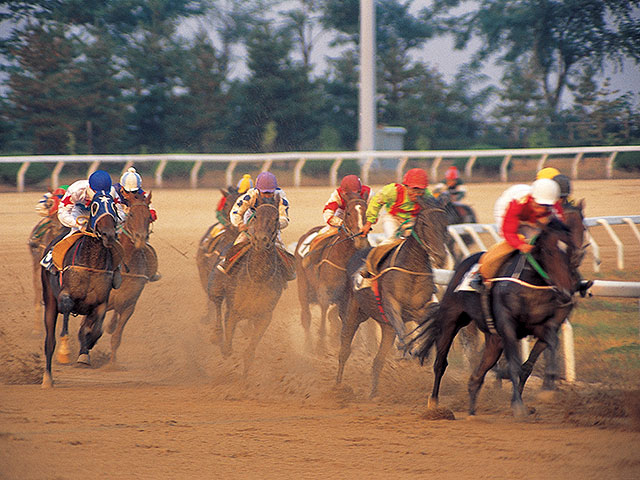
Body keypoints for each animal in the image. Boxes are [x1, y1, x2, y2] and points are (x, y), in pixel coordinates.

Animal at [105, 189, 156, 366]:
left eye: (148, 216)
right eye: (132, 214)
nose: (140, 238)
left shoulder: (129, 305)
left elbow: (117, 337)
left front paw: (111, 365)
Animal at [206, 196, 288, 376]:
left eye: (276, 218)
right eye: (256, 216)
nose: (261, 240)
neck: (257, 278)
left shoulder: (264, 315)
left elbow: (249, 352)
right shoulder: (233, 311)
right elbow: (227, 347)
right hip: (216, 287)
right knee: (216, 304)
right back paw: (216, 335)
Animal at [294, 190, 368, 348]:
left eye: (366, 212)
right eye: (348, 213)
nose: (360, 238)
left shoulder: (347, 295)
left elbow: (339, 316)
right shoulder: (324, 290)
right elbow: (324, 310)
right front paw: (320, 344)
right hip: (303, 285)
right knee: (306, 317)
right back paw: (309, 345)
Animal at [338, 197, 448, 400]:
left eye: (445, 224)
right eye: (425, 223)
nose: (440, 257)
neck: (412, 268)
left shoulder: (420, 309)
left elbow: (430, 320)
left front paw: (423, 351)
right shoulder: (391, 304)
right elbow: (402, 329)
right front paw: (406, 352)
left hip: (385, 327)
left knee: (378, 361)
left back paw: (373, 393)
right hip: (353, 313)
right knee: (345, 350)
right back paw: (338, 387)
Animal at [410, 210, 584, 416]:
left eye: (572, 250)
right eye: (549, 252)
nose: (567, 292)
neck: (531, 285)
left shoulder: (543, 325)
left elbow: (547, 347)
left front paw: (547, 388)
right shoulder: (508, 326)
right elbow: (515, 365)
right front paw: (518, 404)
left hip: (494, 340)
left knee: (477, 376)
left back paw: (472, 411)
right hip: (451, 320)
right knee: (440, 362)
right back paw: (435, 403)